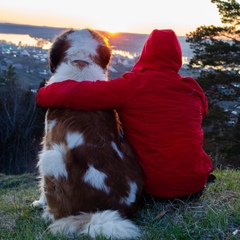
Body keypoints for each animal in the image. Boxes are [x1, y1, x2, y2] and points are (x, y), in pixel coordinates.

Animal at [32, 28, 143, 238]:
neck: (81, 63)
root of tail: (108, 209)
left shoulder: (47, 140)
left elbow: (41, 184)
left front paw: (38, 202)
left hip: (50, 157)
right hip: (128, 147)